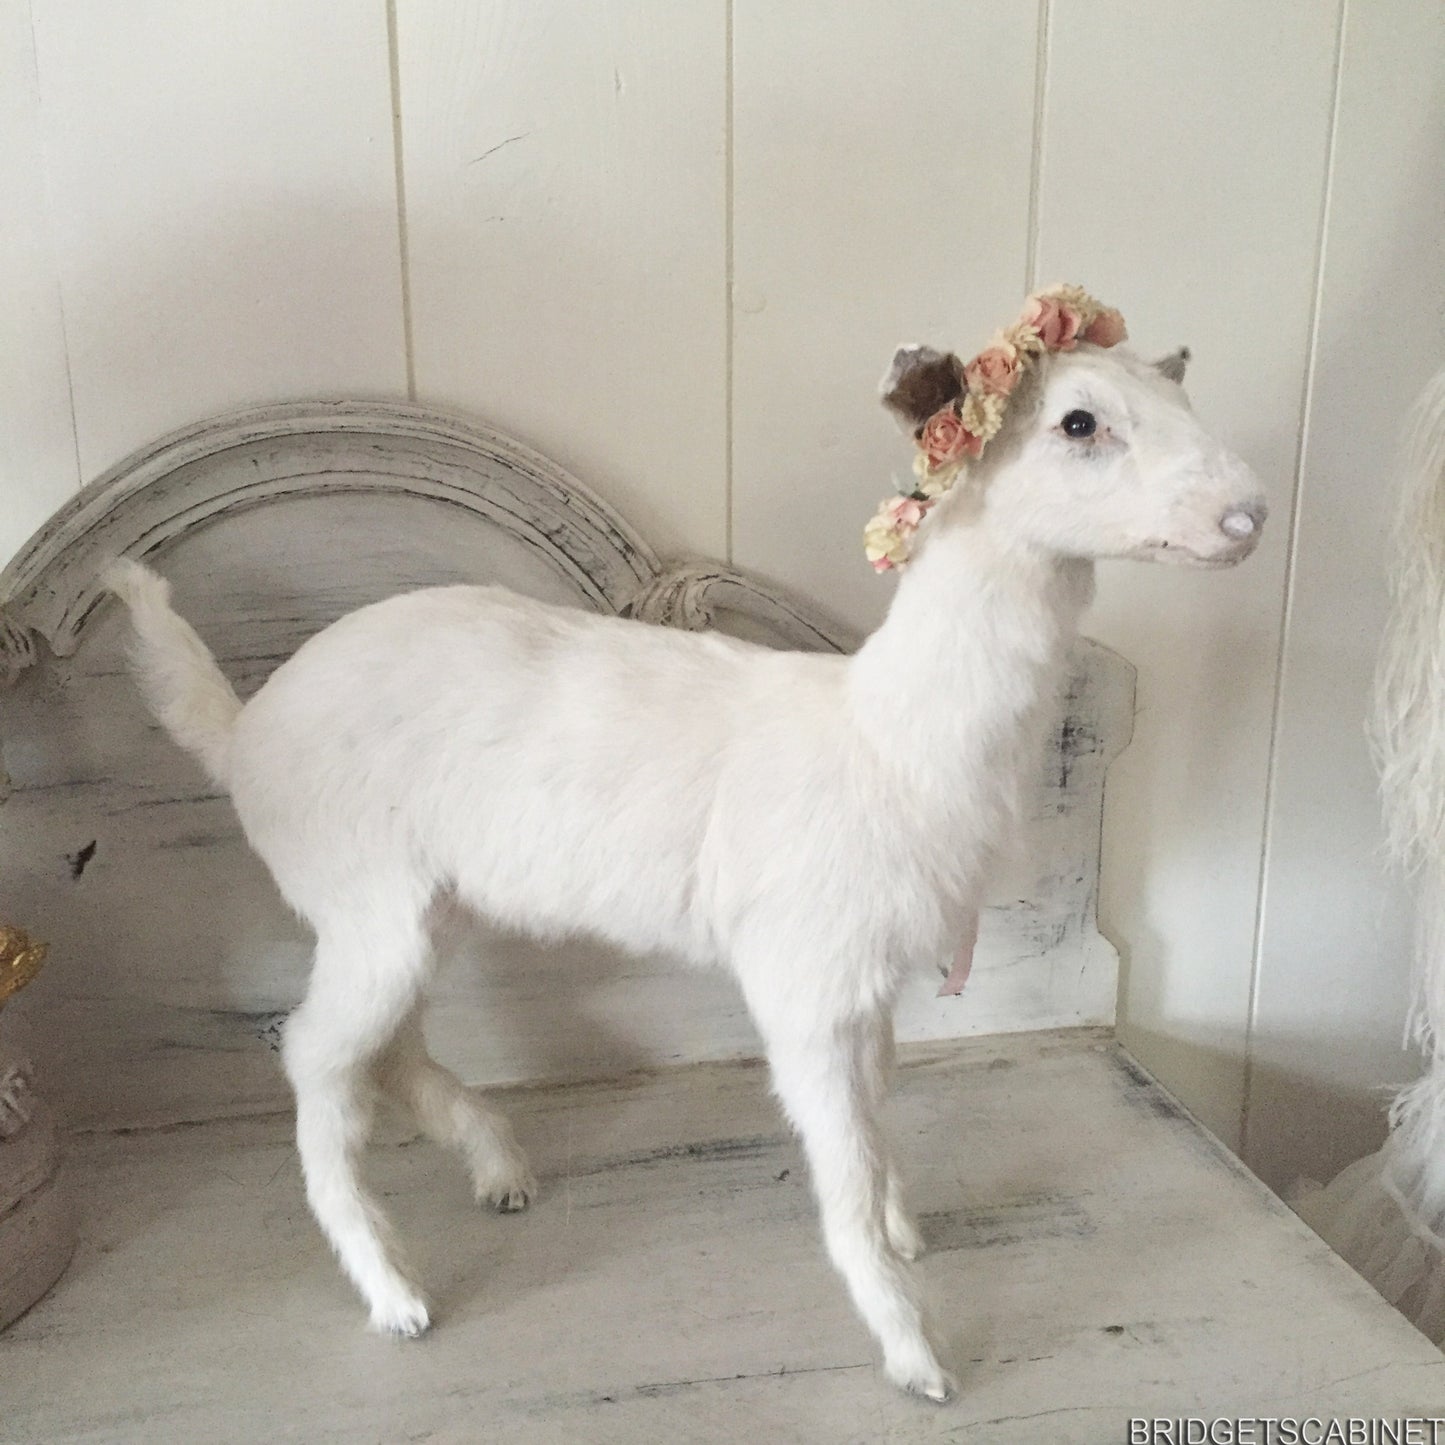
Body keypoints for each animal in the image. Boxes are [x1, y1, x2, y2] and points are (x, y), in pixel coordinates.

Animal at [108, 316, 1264, 1402]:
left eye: (1178, 392)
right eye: (1077, 421)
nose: (1246, 514)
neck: (884, 734)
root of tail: (242, 731)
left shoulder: (869, 983)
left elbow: (878, 1117)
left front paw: (904, 1232)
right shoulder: (803, 981)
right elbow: (841, 1164)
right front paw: (913, 1352)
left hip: (424, 910)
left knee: (380, 1049)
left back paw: (499, 1169)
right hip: (364, 899)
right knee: (315, 1056)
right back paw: (396, 1293)